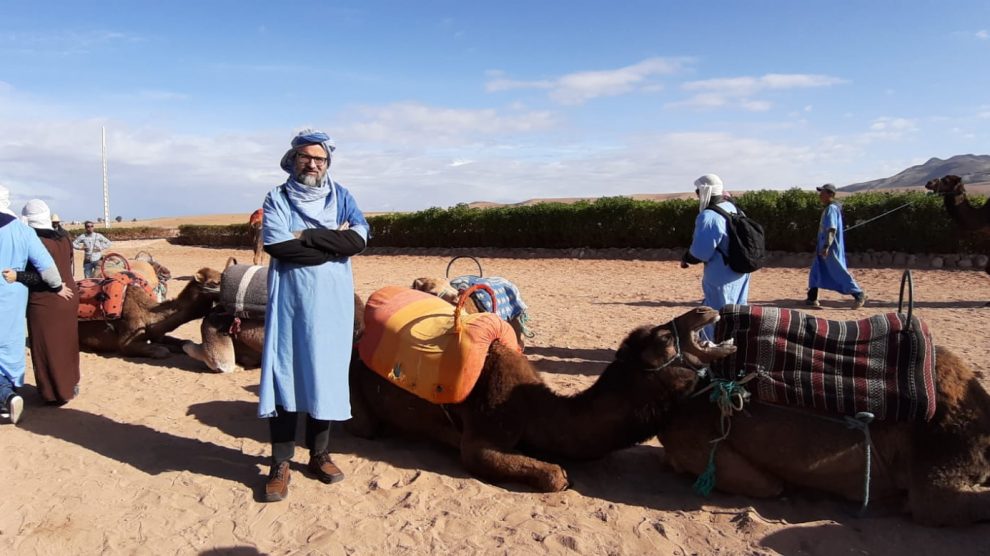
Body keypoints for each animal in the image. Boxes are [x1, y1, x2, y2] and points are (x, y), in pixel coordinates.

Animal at [78, 267, 221, 358]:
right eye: (215, 283)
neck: (149, 316)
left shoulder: (157, 334)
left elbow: (184, 341)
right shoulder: (125, 341)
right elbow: (162, 351)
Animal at [346, 307, 736, 492]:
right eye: (664, 340)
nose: (703, 311)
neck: (535, 409)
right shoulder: (478, 440)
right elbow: (555, 477)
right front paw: (557, 474)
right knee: (365, 427)